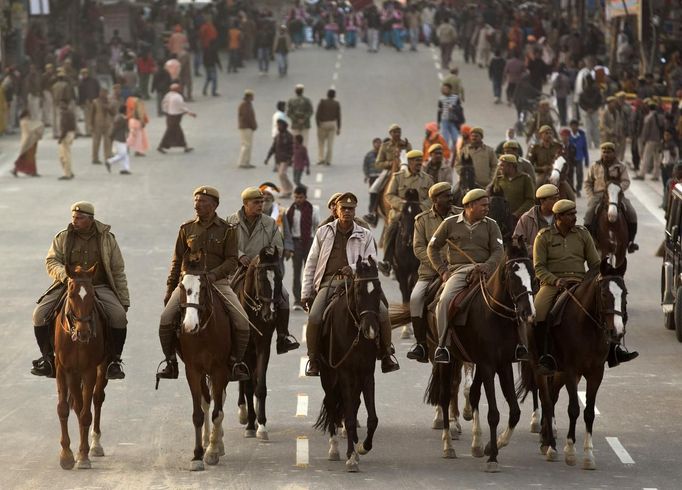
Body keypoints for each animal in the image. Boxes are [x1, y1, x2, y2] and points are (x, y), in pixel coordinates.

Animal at [54, 266, 107, 468]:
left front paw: (83, 456)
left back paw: (95, 445)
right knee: (77, 405)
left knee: (97, 398)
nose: (84, 332)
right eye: (71, 294)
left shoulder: (89, 370)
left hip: (101, 368)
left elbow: (86, 413)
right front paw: (67, 455)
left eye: (92, 294)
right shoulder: (63, 369)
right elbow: (64, 408)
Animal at [175, 266, 231, 472]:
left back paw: (216, 443)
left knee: (218, 400)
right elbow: (198, 413)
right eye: (182, 287)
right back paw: (208, 439)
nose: (190, 326)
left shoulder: (220, 370)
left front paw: (213, 452)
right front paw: (197, 455)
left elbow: (218, 413)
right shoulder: (193, 370)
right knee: (207, 400)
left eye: (204, 288)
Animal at [314, 258, 382, 472]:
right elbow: (349, 418)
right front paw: (351, 457)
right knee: (331, 404)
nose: (371, 330)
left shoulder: (367, 374)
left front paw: (363, 447)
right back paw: (334, 448)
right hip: (328, 375)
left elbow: (372, 418)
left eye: (378, 290)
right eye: (359, 291)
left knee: (350, 404)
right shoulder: (344, 374)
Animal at [422, 241, 532, 470]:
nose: (527, 312)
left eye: (532, 273)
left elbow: (514, 411)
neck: (495, 315)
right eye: (512, 275)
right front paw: (492, 458)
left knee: (470, 393)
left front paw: (493, 445)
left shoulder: (503, 364)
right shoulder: (488, 365)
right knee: (445, 396)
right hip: (445, 358)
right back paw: (448, 445)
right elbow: (493, 413)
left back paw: (476, 443)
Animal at [516, 256, 628, 468]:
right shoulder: (570, 370)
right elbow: (574, 409)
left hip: (559, 373)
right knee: (546, 399)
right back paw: (550, 445)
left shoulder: (595, 372)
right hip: (540, 367)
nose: (617, 332)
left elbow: (589, 412)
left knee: (552, 397)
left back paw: (546, 438)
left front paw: (588, 455)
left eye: (624, 293)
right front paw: (569, 450)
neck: (588, 326)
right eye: (604, 294)